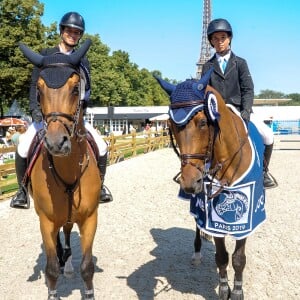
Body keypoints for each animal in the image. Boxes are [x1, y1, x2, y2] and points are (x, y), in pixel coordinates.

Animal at [19, 39, 100, 300]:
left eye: (76, 89)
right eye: (39, 90)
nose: (56, 143)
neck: (68, 169)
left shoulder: (90, 218)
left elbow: (88, 266)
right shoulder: (45, 219)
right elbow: (51, 268)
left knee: (66, 230)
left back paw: (69, 262)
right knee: (57, 238)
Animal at [156, 68, 266, 300]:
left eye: (203, 122)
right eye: (171, 125)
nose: (190, 182)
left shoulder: (248, 217)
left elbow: (238, 258)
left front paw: (237, 291)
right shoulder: (211, 214)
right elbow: (222, 256)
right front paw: (224, 290)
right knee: (197, 224)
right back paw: (197, 252)